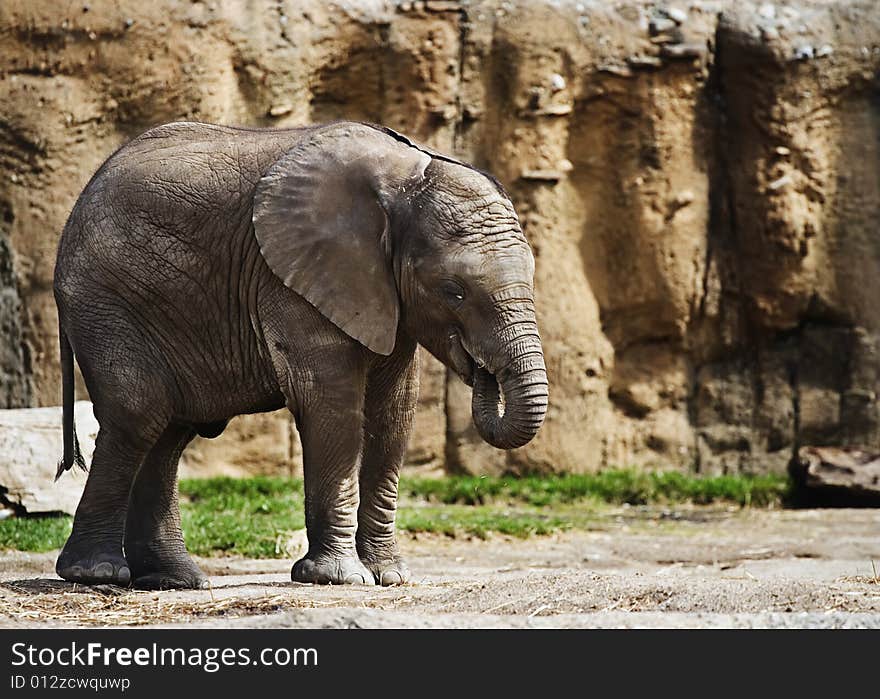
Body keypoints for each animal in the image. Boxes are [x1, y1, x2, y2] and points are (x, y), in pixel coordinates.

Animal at [51, 121, 548, 592]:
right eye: (453, 291)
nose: (482, 370)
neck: (405, 180)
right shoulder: (293, 278)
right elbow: (332, 407)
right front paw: (342, 578)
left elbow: (394, 414)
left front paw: (389, 577)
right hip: (107, 302)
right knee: (139, 416)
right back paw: (96, 572)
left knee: (168, 432)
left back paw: (176, 580)